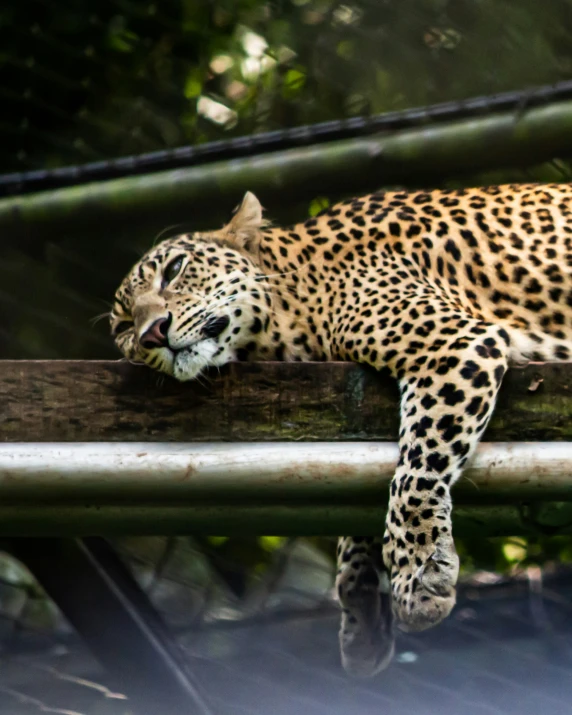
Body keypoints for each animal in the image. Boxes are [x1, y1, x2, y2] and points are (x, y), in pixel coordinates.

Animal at [111, 183, 572, 676]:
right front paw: (361, 613)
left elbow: (414, 473)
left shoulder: (454, 346)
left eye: (174, 270)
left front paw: (418, 573)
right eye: (122, 326)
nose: (152, 334)